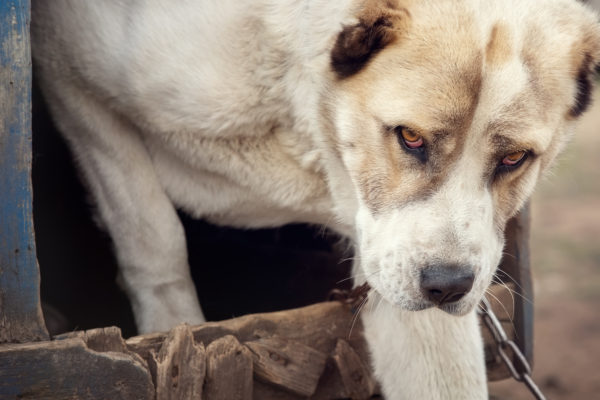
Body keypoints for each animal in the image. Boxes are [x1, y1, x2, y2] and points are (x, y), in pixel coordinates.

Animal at [31, 0, 600, 398]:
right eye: (410, 137)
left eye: (514, 158)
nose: (447, 285)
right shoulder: (71, 76)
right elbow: (152, 235)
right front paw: (170, 330)